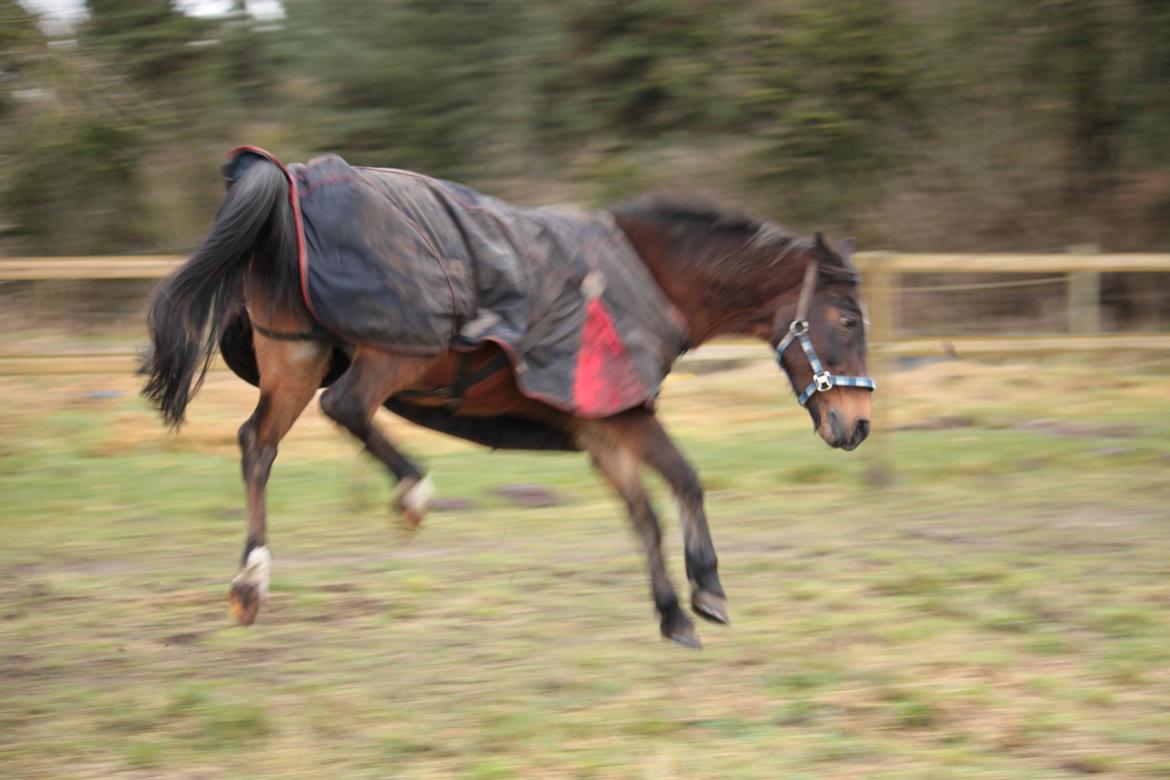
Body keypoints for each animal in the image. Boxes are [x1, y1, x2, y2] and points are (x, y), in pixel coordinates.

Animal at [141, 149, 875, 650]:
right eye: (847, 320)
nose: (859, 423)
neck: (647, 278)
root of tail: (288, 180)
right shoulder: (619, 415)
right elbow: (668, 496)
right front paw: (699, 597)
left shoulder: (607, 423)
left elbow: (662, 500)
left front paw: (686, 606)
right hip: (392, 353)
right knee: (344, 409)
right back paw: (411, 494)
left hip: (295, 357)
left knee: (257, 445)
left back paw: (251, 581)